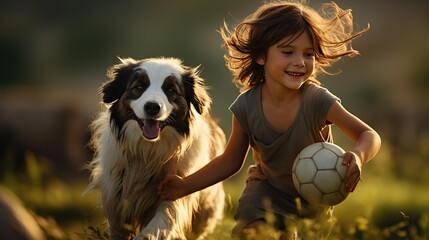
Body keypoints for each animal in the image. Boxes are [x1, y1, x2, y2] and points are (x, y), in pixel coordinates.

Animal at [88, 57, 226, 239]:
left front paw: (146, 236)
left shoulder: (175, 186)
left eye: (170, 89)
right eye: (139, 86)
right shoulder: (117, 197)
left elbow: (163, 220)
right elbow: (119, 227)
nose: (152, 107)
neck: (148, 151)